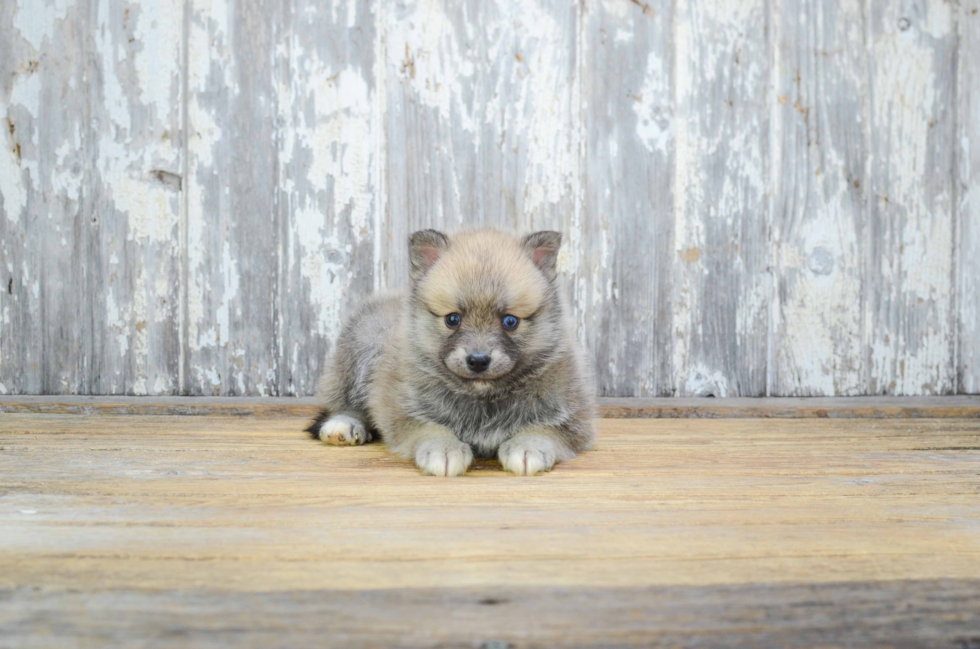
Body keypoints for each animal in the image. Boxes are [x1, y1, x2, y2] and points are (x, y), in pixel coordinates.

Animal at [306, 228, 596, 476]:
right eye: (453, 319)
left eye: (510, 321)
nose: (478, 361)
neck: (482, 398)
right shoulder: (402, 410)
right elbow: (429, 428)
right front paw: (443, 450)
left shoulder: (574, 418)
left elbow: (544, 429)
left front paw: (528, 447)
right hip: (362, 347)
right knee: (345, 404)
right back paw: (343, 425)